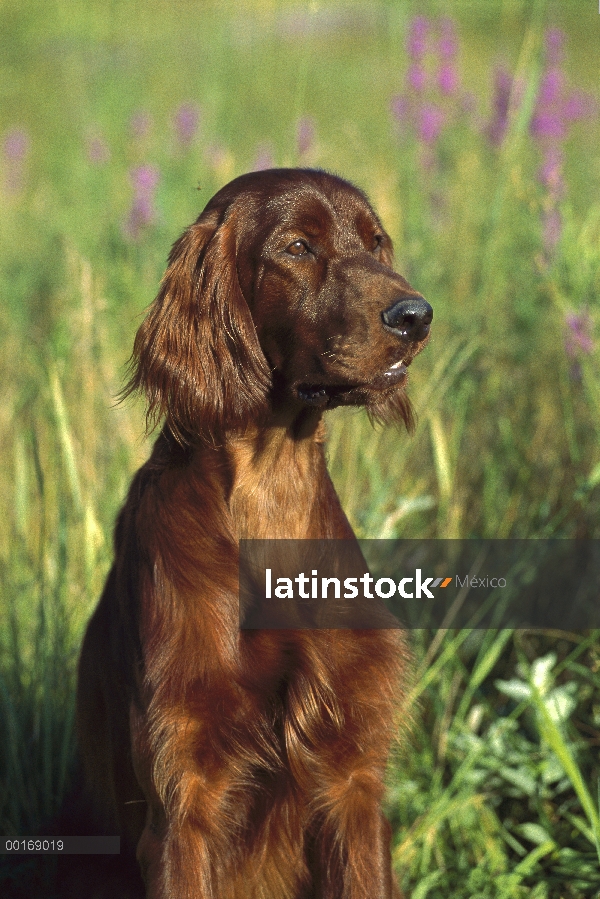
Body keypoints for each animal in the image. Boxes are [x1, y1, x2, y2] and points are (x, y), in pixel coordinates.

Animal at [76, 171, 432, 899]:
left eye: (376, 241)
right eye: (297, 247)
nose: (416, 316)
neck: (271, 501)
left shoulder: (352, 782)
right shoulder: (183, 803)